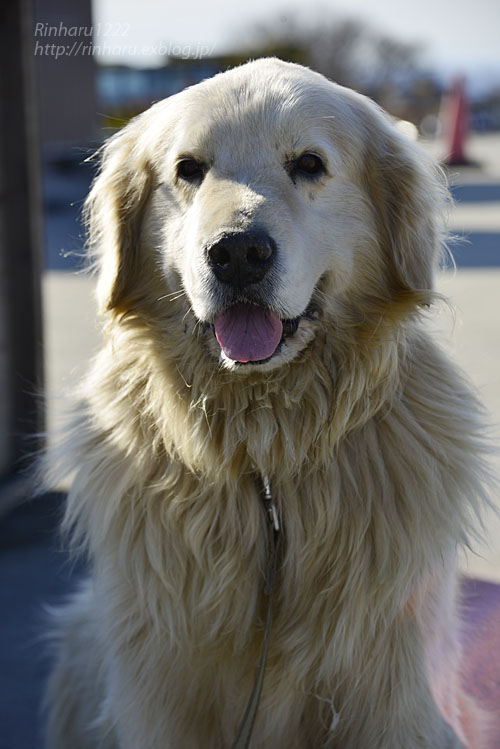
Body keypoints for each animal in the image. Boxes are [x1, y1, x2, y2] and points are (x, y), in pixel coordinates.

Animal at [45, 60, 490, 748]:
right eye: (188, 169)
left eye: (309, 163)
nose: (237, 253)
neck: (267, 456)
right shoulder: (162, 694)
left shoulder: (393, 696)